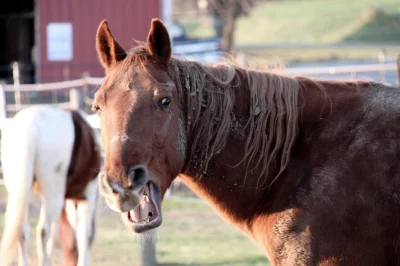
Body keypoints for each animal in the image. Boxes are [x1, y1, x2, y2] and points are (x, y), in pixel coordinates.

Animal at [0, 106, 101, 266]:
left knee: (22, 231)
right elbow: (84, 231)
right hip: (54, 194)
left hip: (22, 193)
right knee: (43, 230)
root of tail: (31, 126)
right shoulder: (87, 194)